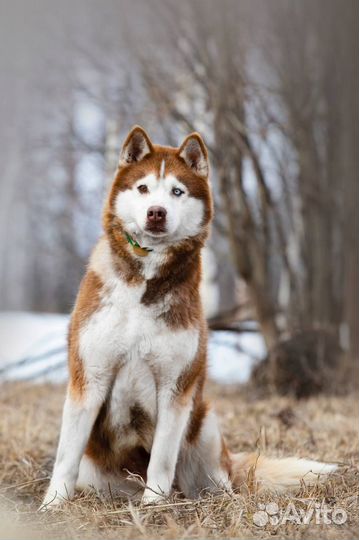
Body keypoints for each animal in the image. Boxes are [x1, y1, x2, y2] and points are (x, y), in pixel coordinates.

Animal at [42, 127, 338, 510]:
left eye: (177, 191)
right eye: (143, 188)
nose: (156, 212)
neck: (145, 282)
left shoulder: (176, 388)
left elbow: (163, 458)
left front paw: (154, 506)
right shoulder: (89, 377)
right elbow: (67, 455)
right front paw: (52, 505)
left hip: (205, 421)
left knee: (214, 478)